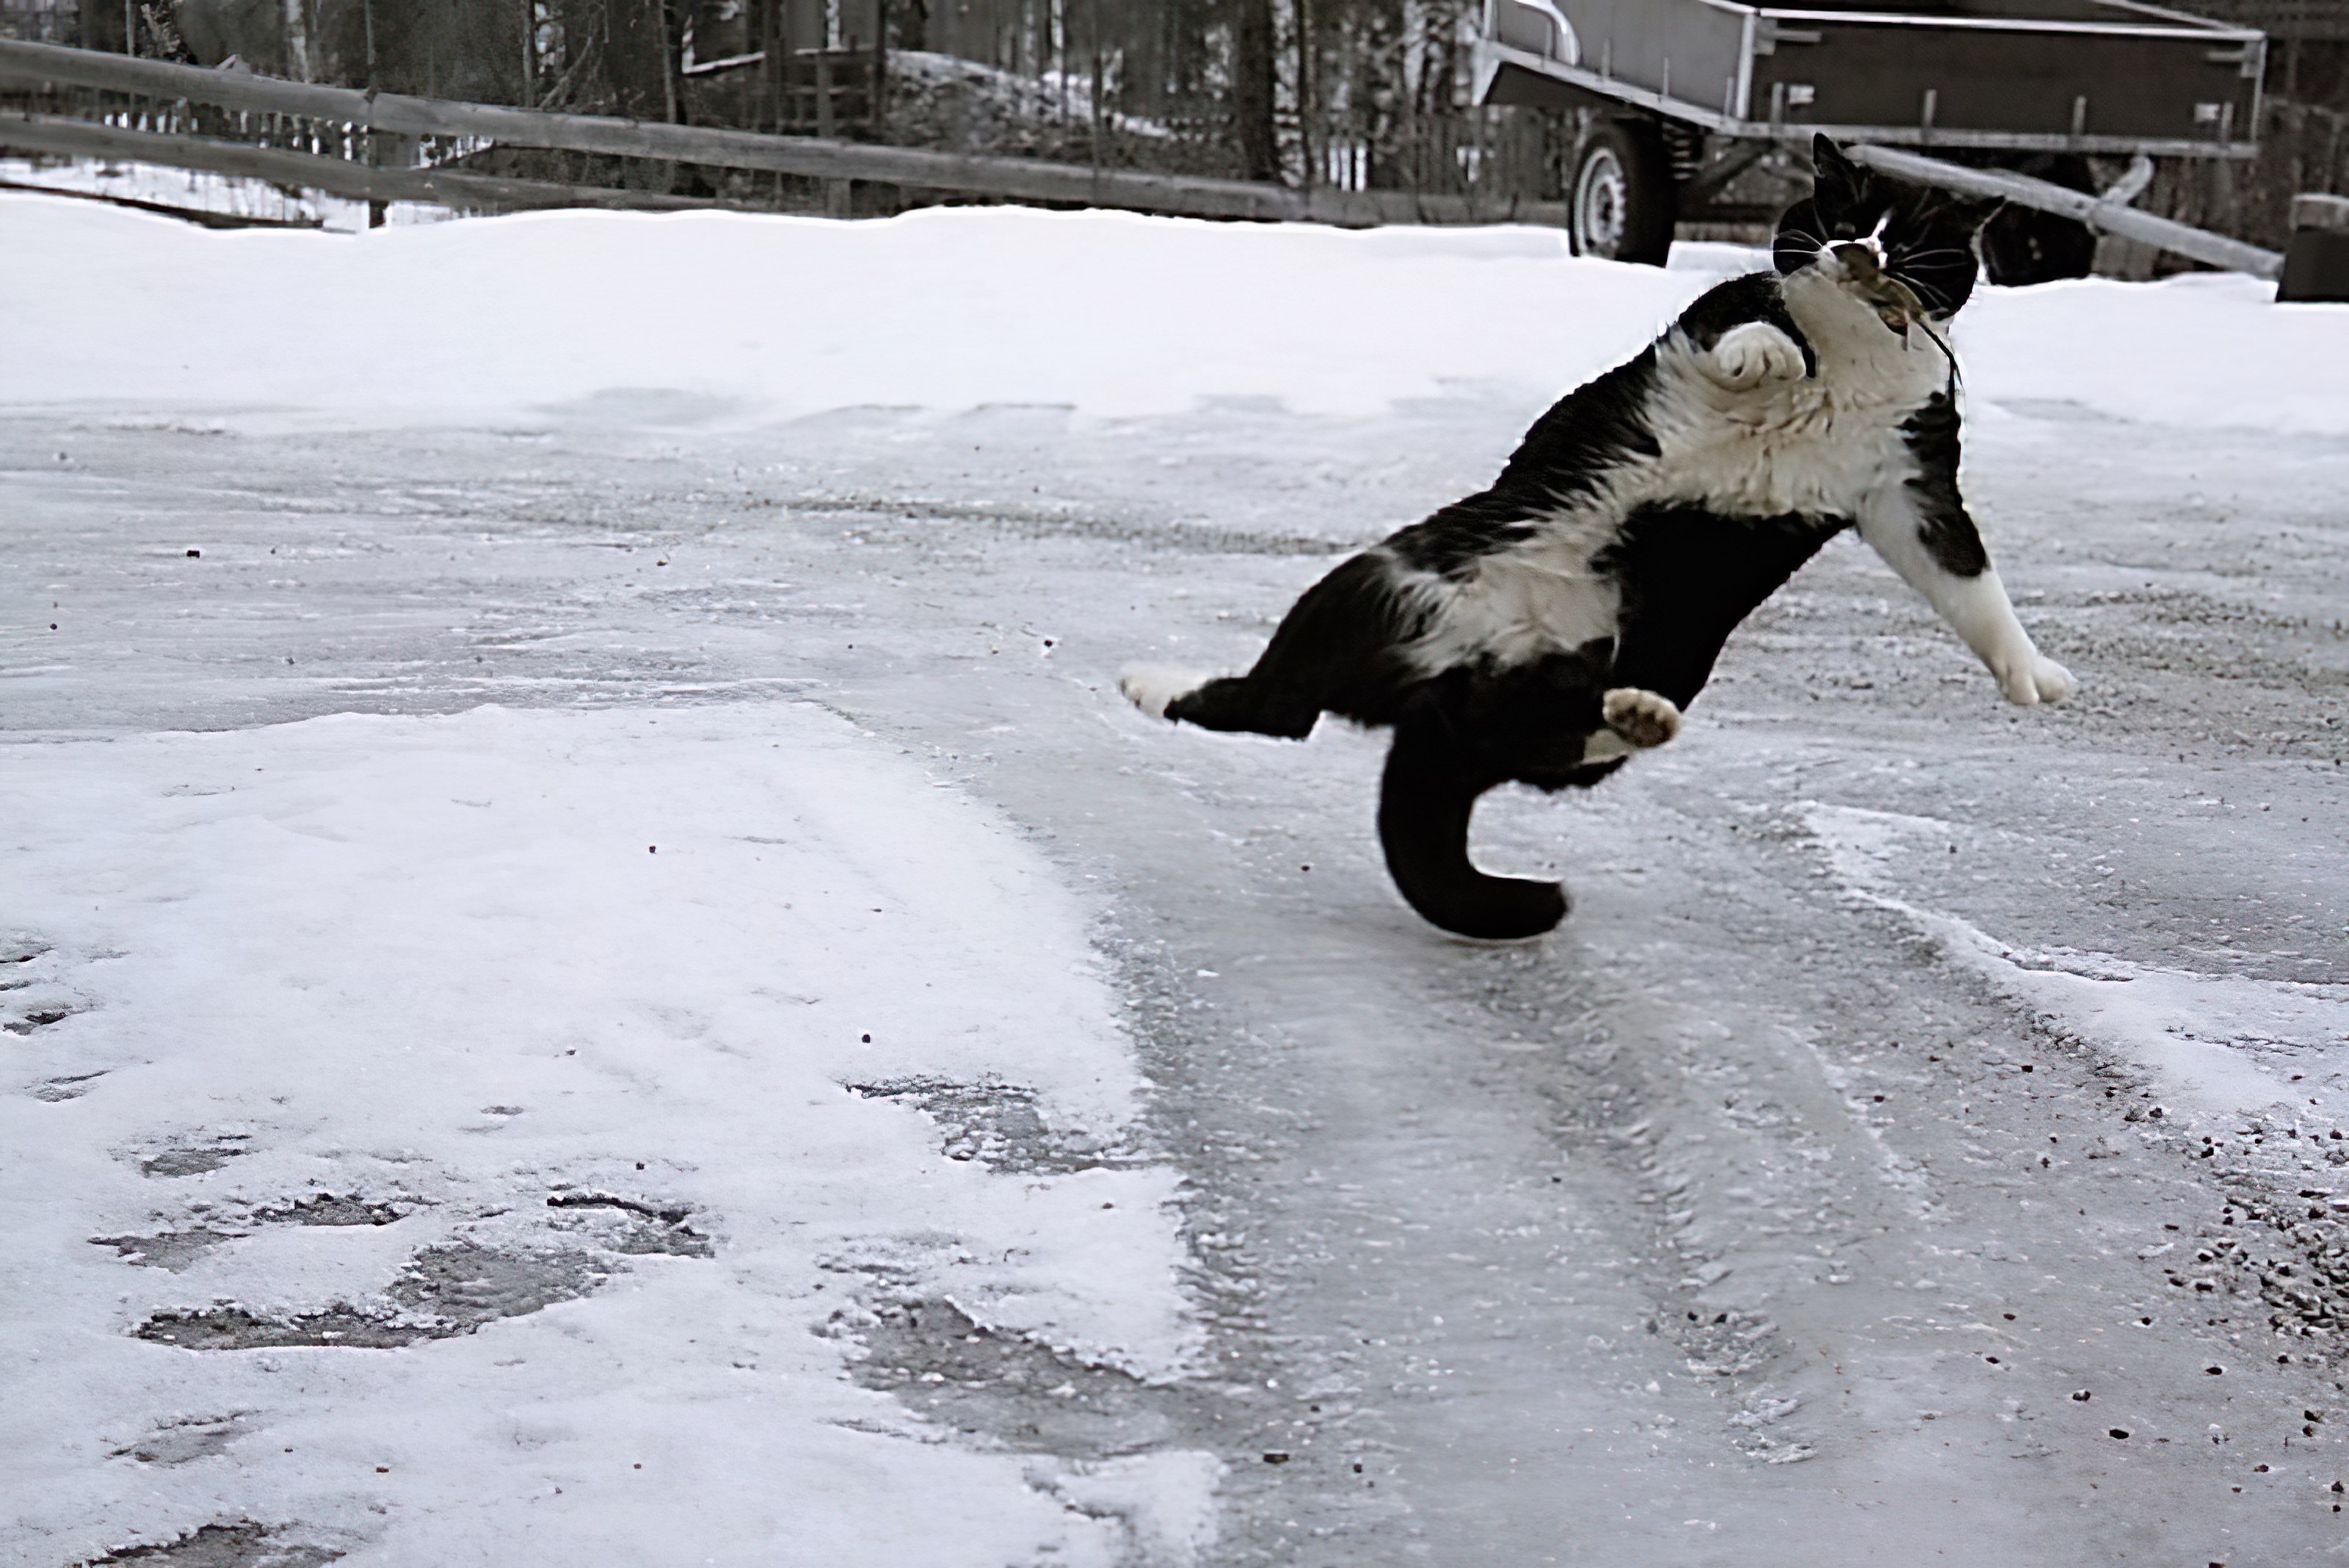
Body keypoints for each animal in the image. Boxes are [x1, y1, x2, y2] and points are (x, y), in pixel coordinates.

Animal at [1122, 134, 2076, 939]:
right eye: (1842, 217)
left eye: (1906, 238)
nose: (1856, 255)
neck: (1847, 358)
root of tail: (1439, 708)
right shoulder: (1707, 325)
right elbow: (1753, 328)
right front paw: (1772, 360)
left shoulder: (1908, 489)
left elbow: (1967, 581)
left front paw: (2031, 675)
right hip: (1370, 581)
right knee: (1278, 706)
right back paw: (1148, 683)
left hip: (1659, 657)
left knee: (1548, 746)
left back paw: (1638, 715)